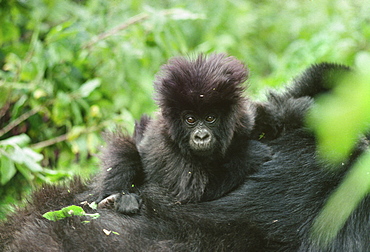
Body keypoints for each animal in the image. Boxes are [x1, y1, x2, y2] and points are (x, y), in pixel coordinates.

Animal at [95, 53, 268, 213]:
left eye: (210, 118)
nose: (201, 136)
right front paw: (252, 153)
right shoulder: (167, 147)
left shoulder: (244, 120)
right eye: (190, 119)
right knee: (124, 149)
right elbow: (196, 192)